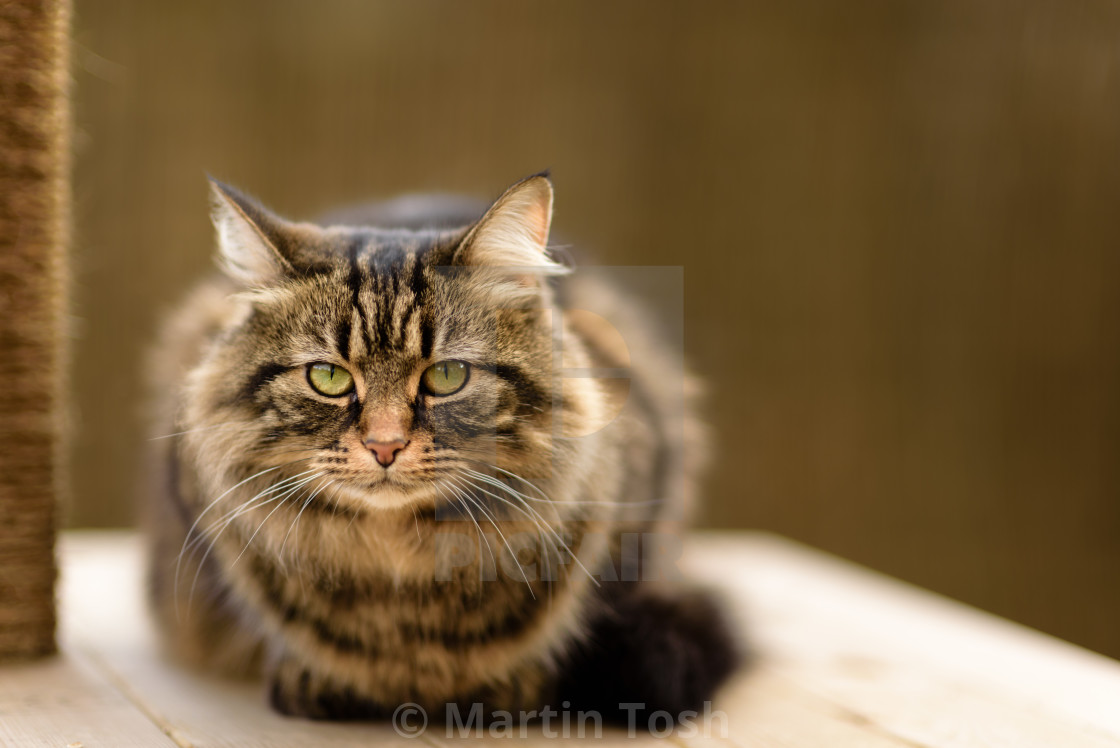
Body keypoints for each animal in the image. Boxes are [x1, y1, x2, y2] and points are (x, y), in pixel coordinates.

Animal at [146, 175, 743, 725]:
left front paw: (516, 686)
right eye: (328, 377)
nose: (384, 445)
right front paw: (313, 678)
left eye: (448, 375)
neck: (400, 571)